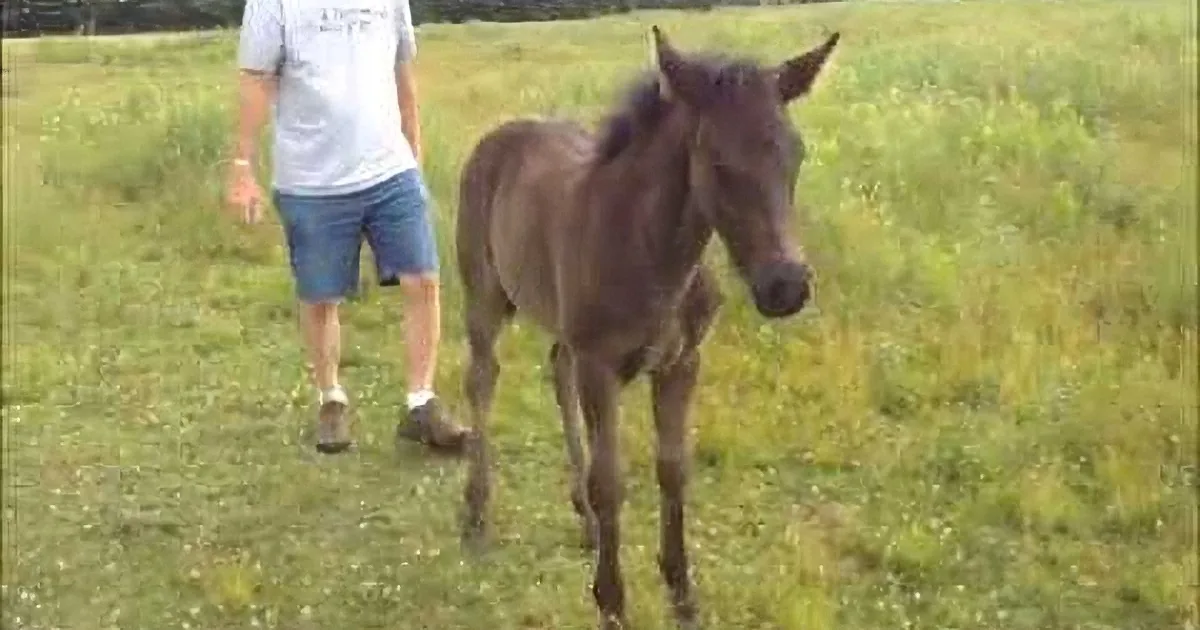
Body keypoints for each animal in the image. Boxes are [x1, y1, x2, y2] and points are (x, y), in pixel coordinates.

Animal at [454, 25, 841, 629]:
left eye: (795, 154)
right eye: (717, 161)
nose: (786, 287)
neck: (653, 254)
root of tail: (502, 131)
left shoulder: (681, 362)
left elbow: (673, 469)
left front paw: (683, 594)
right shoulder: (600, 366)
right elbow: (611, 480)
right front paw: (612, 602)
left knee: (555, 369)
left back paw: (585, 523)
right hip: (484, 295)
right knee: (483, 379)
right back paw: (476, 511)